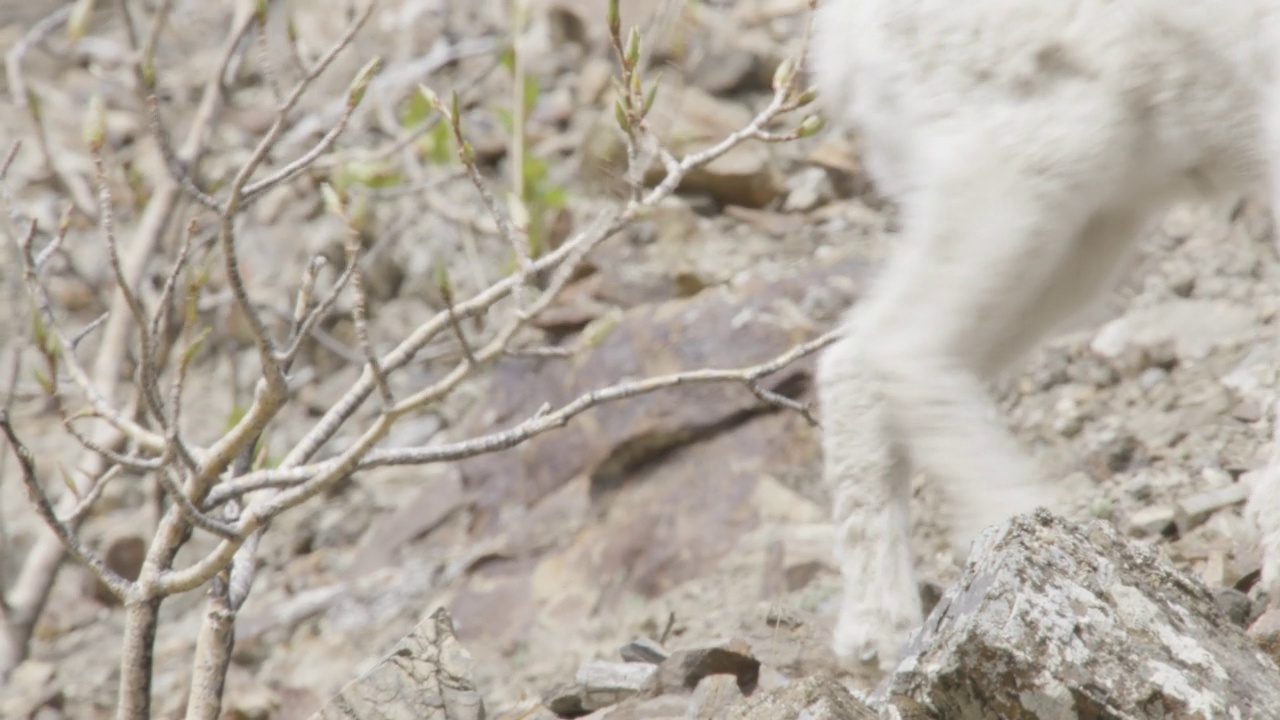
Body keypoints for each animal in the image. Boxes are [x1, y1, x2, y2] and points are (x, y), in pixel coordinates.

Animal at [808, 0, 1280, 671]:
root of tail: (839, 45)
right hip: (1024, 173)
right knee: (897, 348)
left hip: (1087, 233)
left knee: (860, 365)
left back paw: (878, 632)